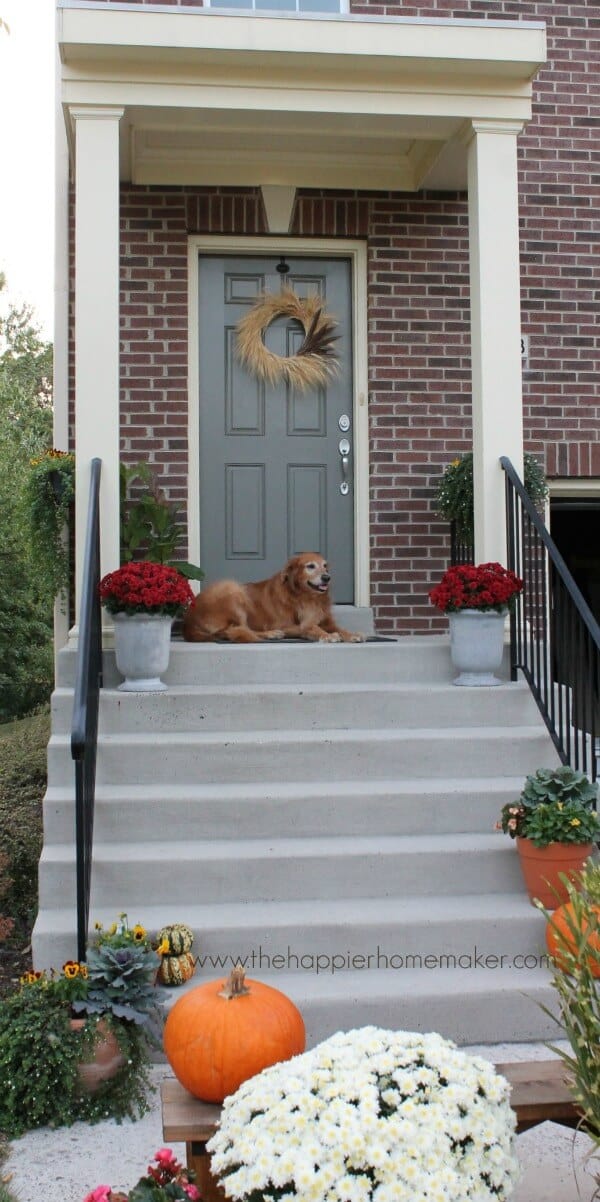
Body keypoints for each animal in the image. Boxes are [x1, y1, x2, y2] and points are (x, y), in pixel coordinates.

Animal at [182, 555, 363, 649]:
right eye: (310, 566)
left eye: (325, 566)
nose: (327, 577)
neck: (307, 596)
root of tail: (189, 618)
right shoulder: (289, 624)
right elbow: (310, 627)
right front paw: (326, 635)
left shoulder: (327, 621)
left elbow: (340, 628)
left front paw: (352, 634)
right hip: (232, 589)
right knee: (236, 630)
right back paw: (271, 633)